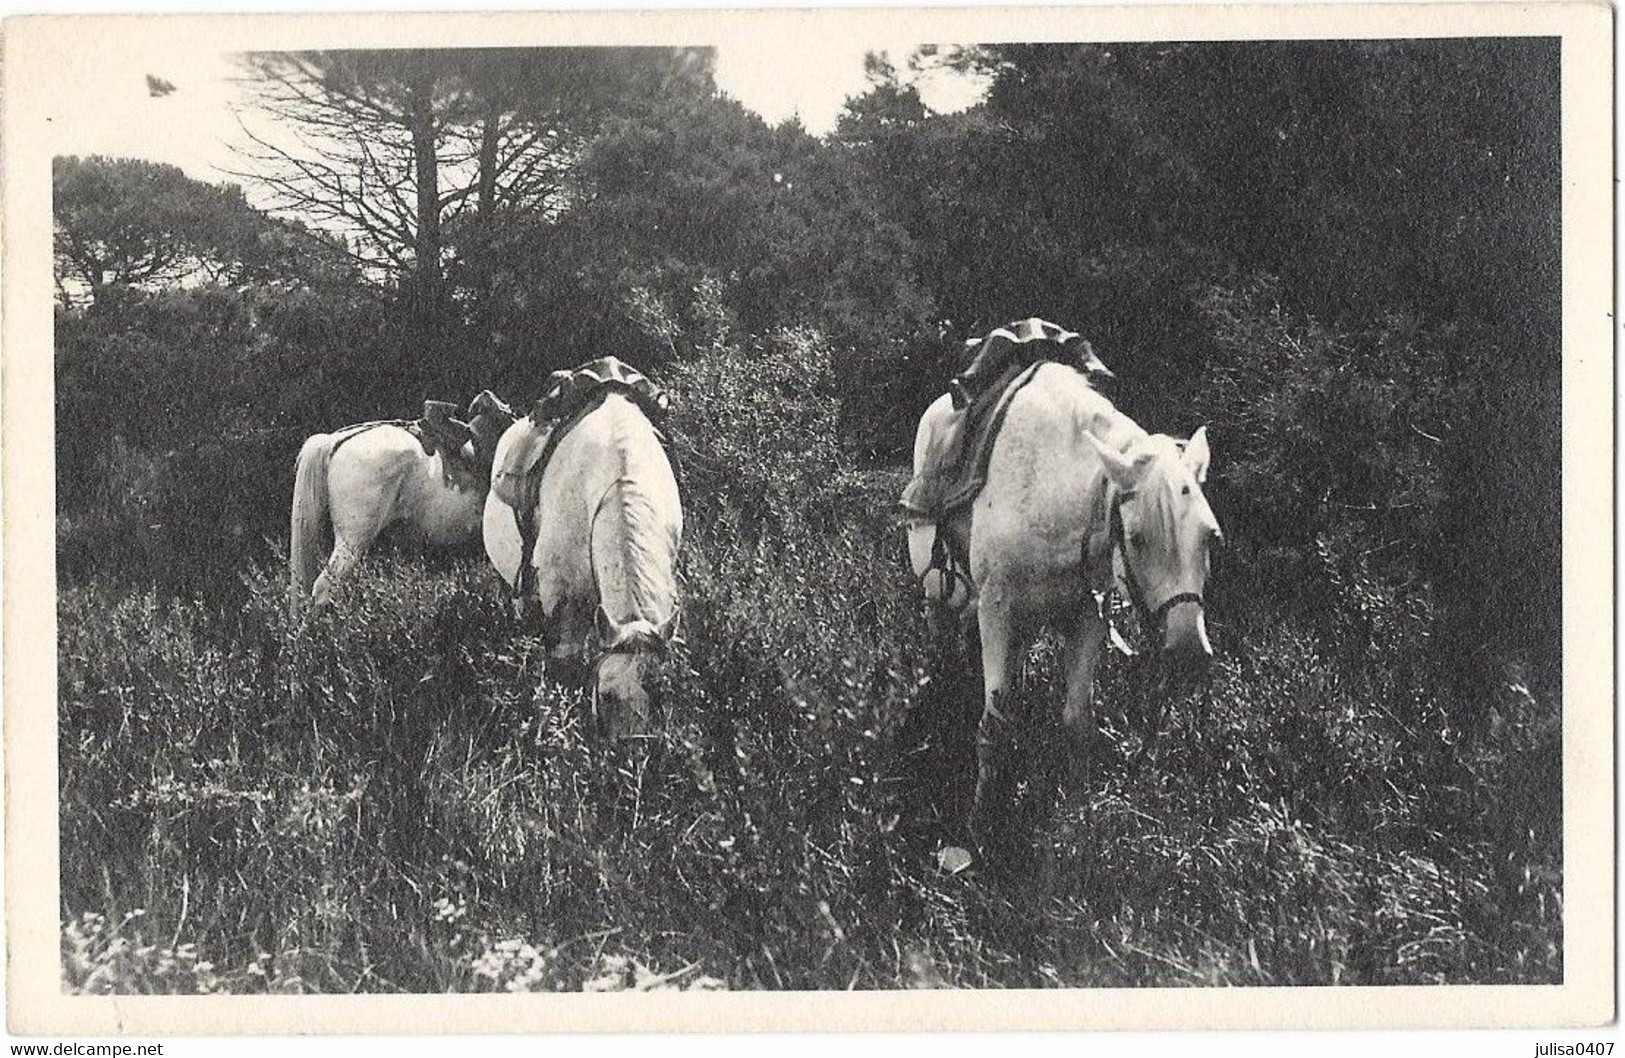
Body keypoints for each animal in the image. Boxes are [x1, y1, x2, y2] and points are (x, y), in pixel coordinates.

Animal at [903, 364, 1222, 845]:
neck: (1055, 497)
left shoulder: (1087, 617)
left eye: (1209, 536)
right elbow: (993, 726)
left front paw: (1077, 815)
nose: (1188, 654)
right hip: (940, 594)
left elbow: (1077, 723)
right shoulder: (995, 612)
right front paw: (980, 825)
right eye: (1137, 538)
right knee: (943, 644)